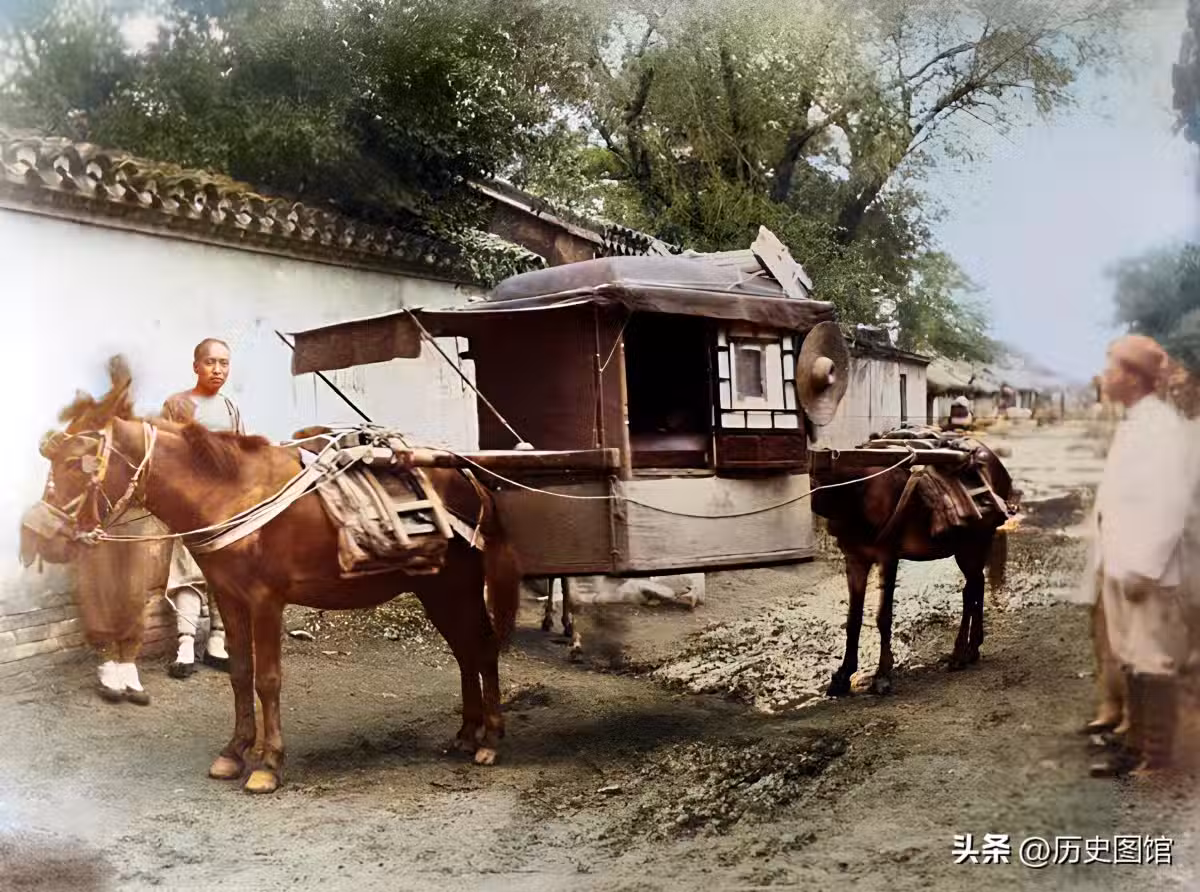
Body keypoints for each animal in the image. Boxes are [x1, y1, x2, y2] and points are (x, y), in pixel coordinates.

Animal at [28, 358, 521, 794]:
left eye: (74, 464)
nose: (39, 536)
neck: (230, 493)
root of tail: (469, 476)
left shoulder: (266, 599)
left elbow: (267, 678)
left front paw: (267, 764)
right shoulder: (229, 596)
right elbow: (240, 673)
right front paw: (234, 752)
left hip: (457, 585)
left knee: (481, 647)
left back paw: (491, 740)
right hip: (433, 587)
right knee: (465, 652)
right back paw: (467, 733)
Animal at [811, 444, 1014, 698]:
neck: (853, 491)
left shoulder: (887, 555)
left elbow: (883, 616)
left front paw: (882, 676)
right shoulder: (854, 559)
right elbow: (853, 619)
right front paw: (843, 676)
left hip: (974, 544)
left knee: (971, 590)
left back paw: (960, 654)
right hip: (968, 546)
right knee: (976, 586)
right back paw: (971, 650)